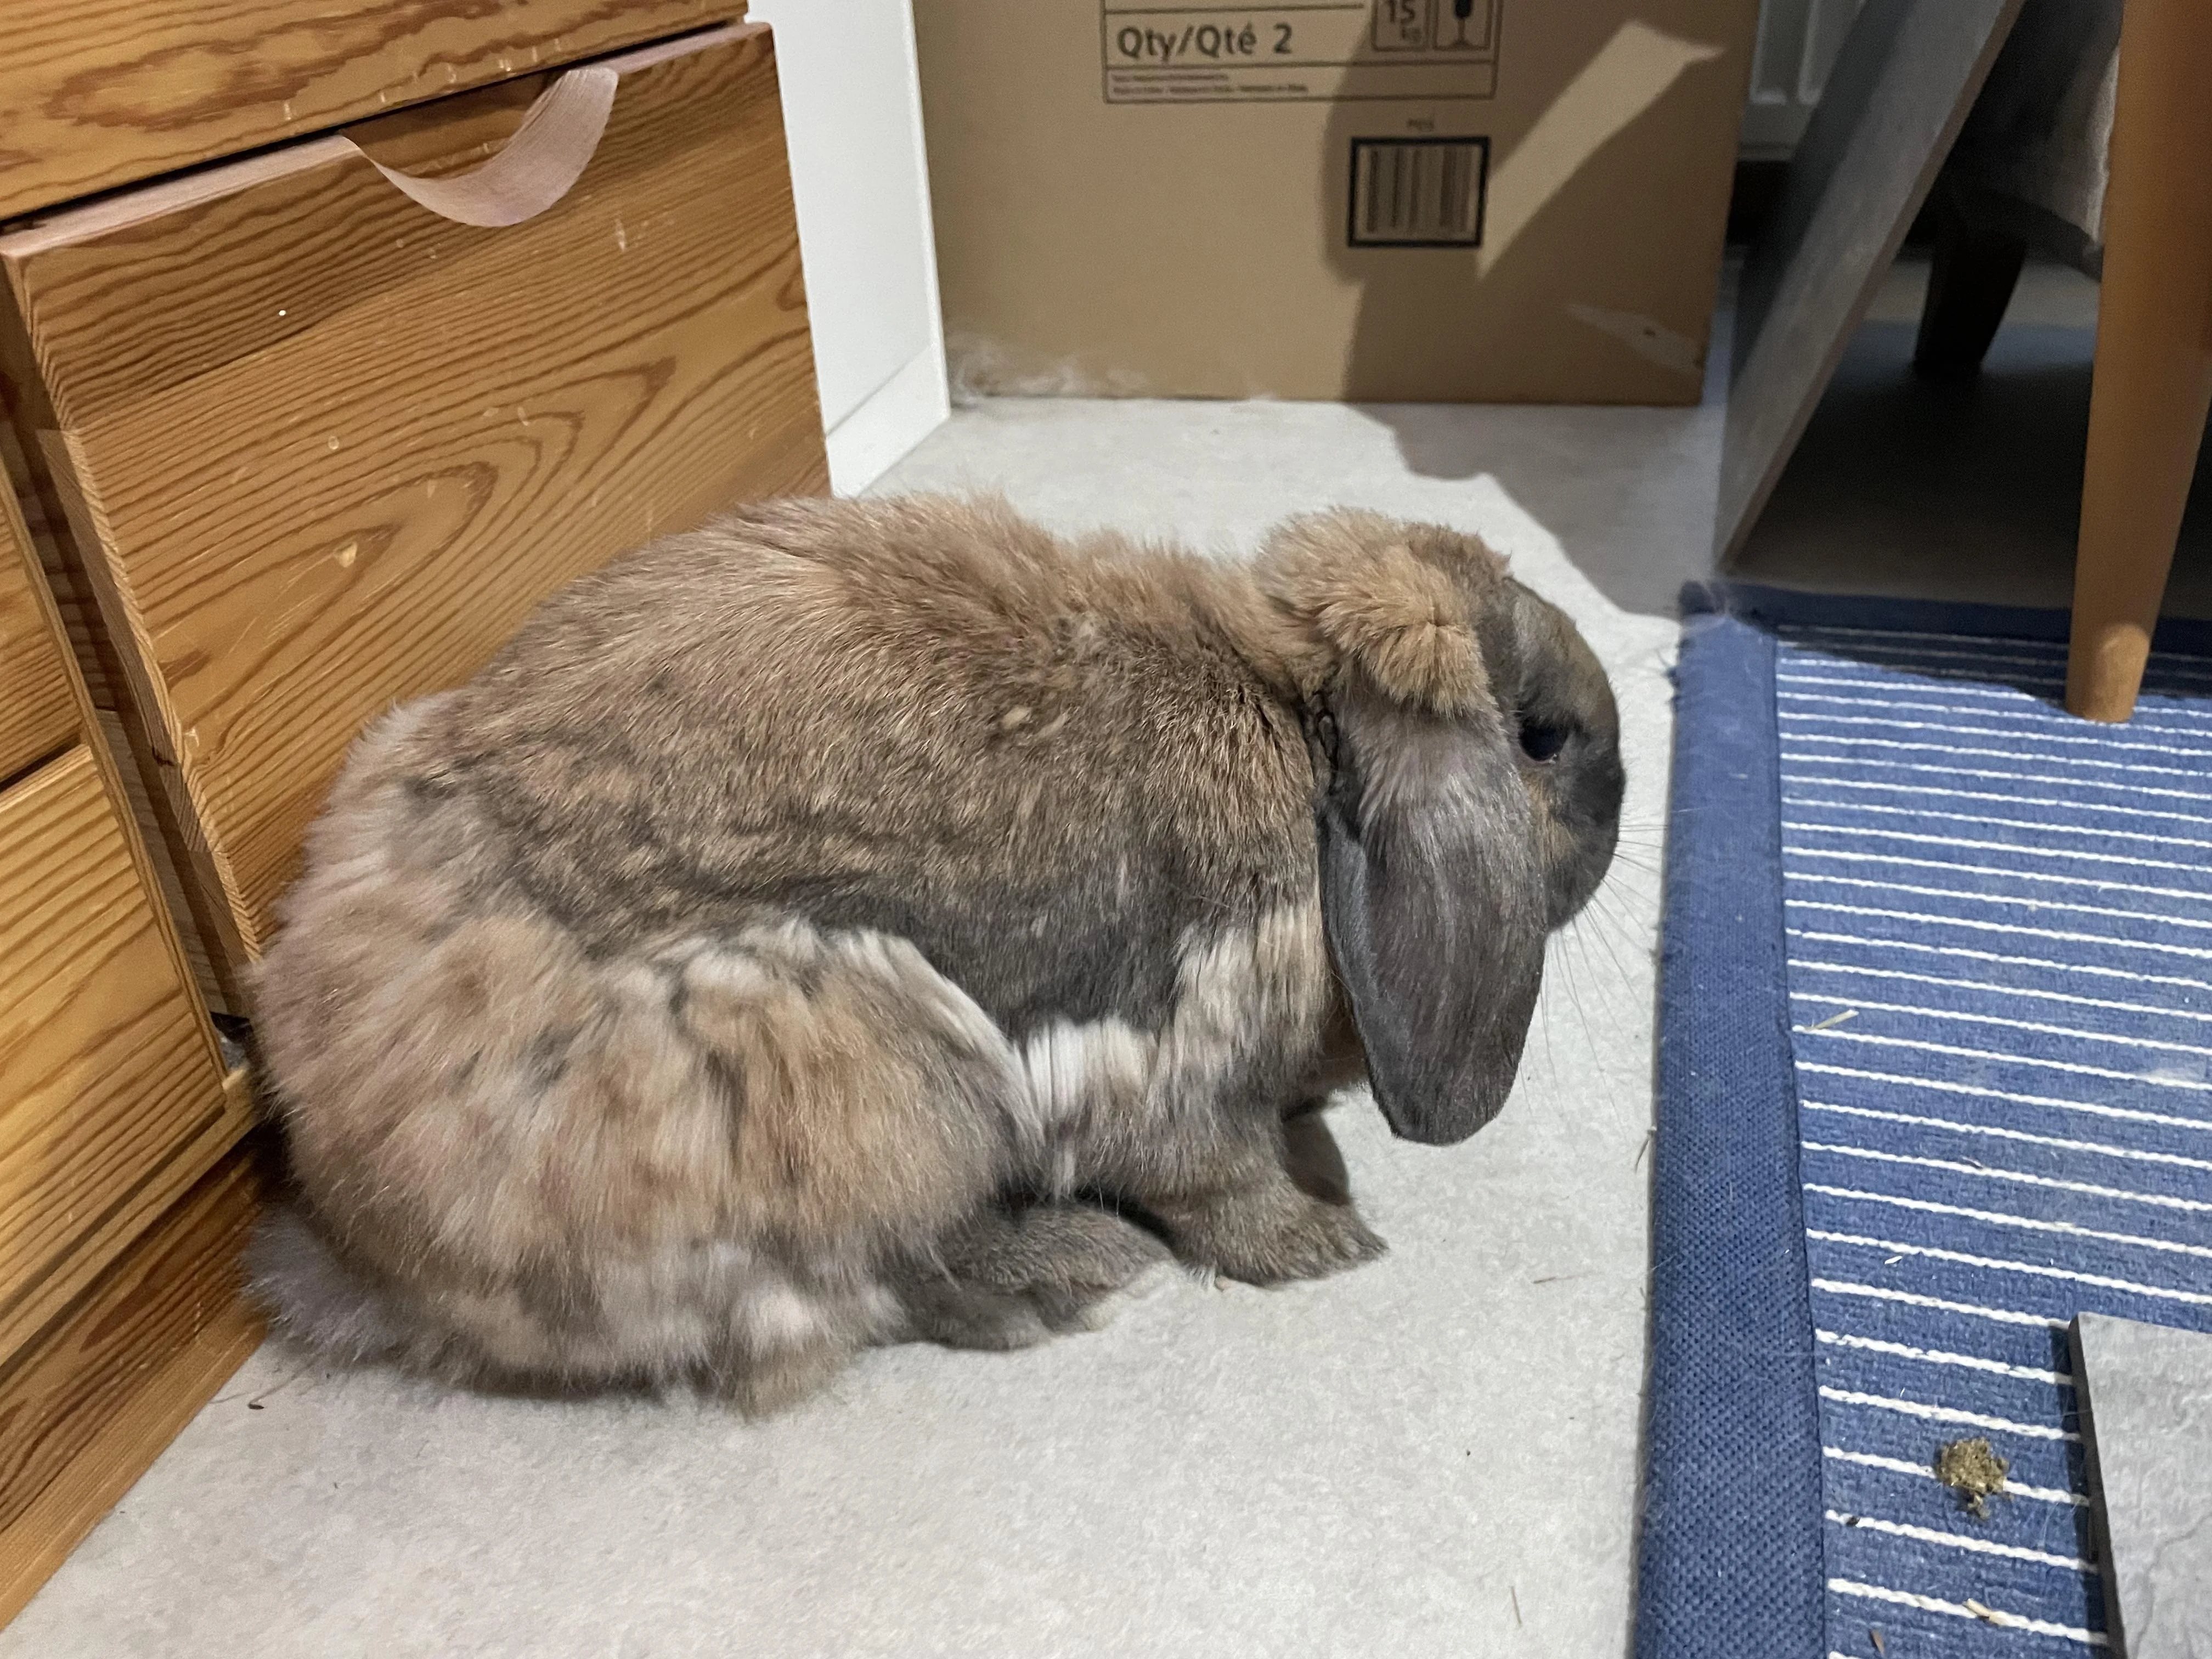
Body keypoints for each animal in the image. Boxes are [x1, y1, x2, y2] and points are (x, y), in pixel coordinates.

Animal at [247, 494, 1623, 1413]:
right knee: (869, 1287)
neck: (1300, 738)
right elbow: (1216, 1183)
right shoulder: (1175, 1071)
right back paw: (1073, 1271)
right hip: (867, 1072)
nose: (1620, 806)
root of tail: (364, 1243)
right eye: (1544, 741)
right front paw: (1326, 1244)